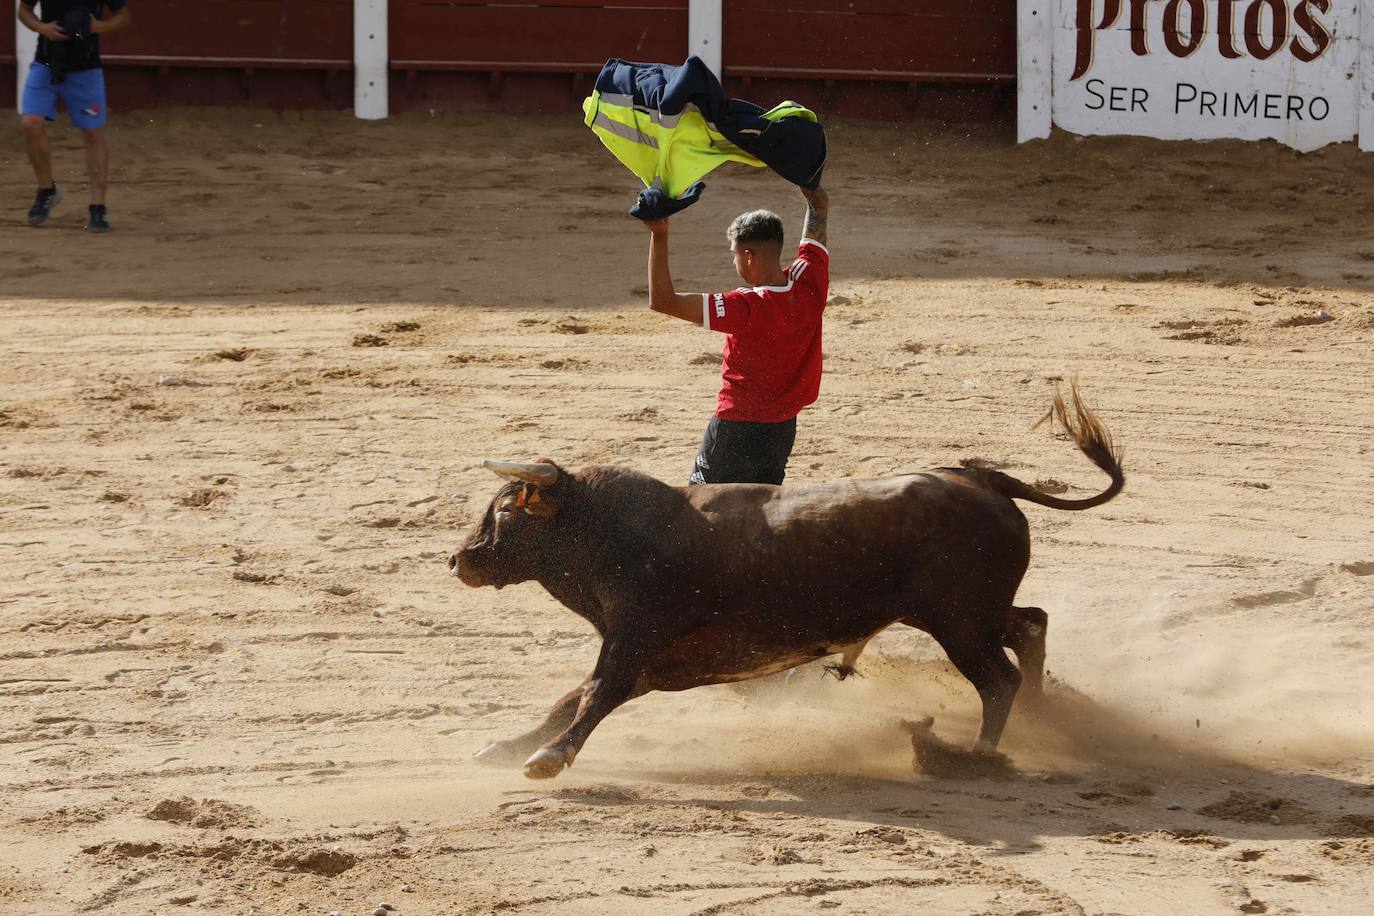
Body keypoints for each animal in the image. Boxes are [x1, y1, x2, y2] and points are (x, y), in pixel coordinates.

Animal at [456, 387, 1121, 780]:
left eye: (506, 512)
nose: (459, 560)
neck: (612, 528)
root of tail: (982, 478)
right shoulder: (645, 656)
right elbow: (569, 698)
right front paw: (506, 748)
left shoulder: (635, 640)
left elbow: (593, 694)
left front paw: (547, 759)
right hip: (968, 614)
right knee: (1030, 626)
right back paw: (1040, 720)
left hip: (960, 623)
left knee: (998, 678)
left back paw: (978, 755)